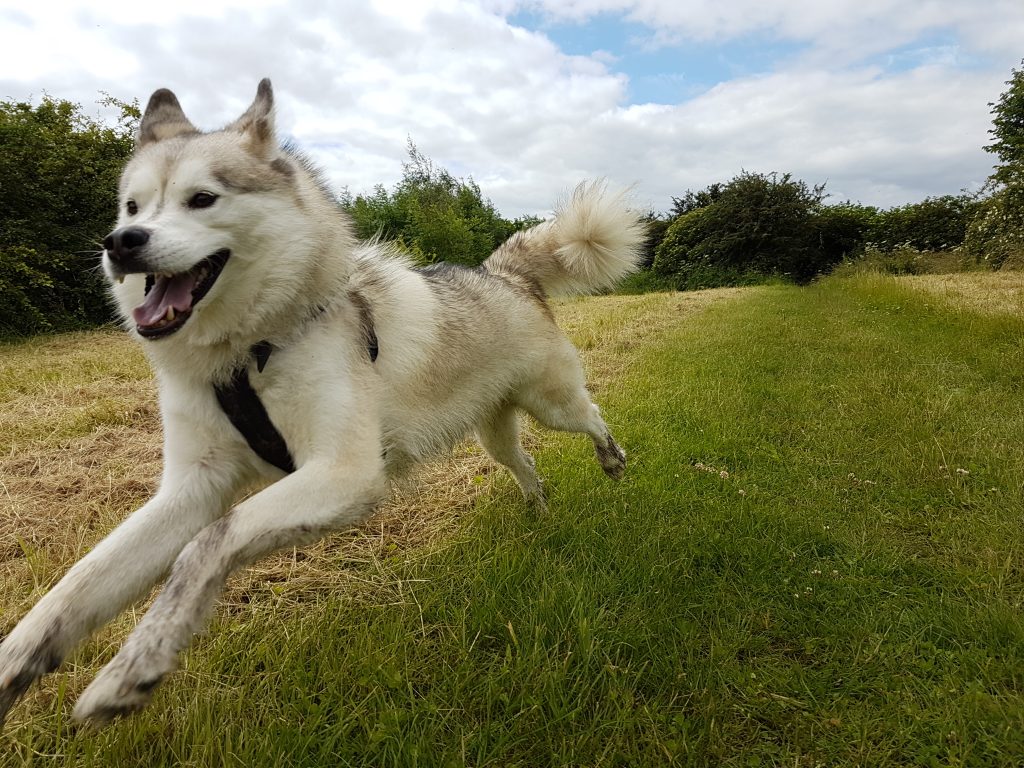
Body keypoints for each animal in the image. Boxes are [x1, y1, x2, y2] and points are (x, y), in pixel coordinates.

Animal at [0, 81, 638, 729]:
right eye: (132, 208)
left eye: (202, 199)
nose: (121, 244)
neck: (246, 355)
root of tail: (502, 272)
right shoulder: (192, 488)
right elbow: (75, 586)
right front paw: (18, 662)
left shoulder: (343, 473)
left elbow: (206, 545)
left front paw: (136, 664)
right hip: (494, 432)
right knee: (525, 465)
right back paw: (538, 507)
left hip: (551, 402)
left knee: (591, 416)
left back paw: (611, 459)